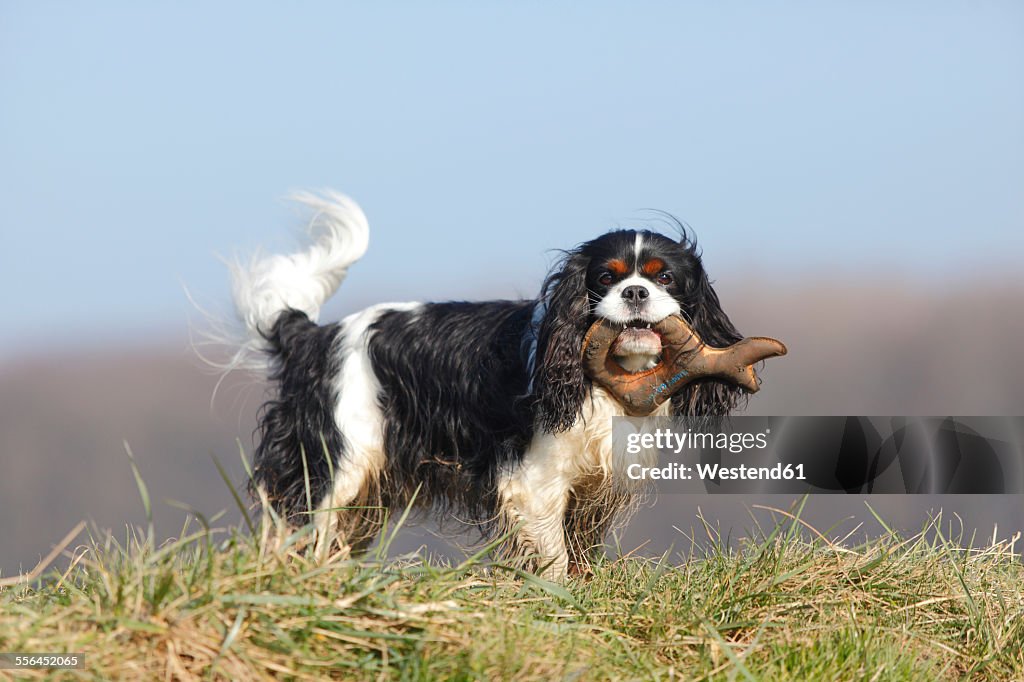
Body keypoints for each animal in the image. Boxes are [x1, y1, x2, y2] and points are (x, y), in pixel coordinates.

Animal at [230, 192, 745, 577]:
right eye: (605, 277)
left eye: (666, 278)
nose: (635, 292)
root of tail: (315, 336)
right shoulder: (534, 481)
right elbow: (554, 555)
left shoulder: (592, 486)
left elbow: (579, 548)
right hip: (337, 459)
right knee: (308, 528)